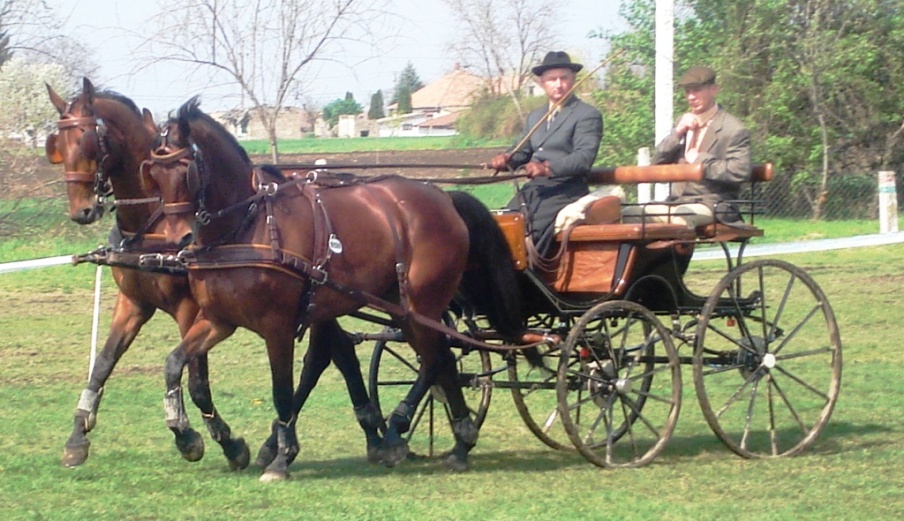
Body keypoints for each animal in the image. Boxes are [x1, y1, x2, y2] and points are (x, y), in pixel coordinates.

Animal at [45, 79, 249, 470]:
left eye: (89, 140)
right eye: (58, 145)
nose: (81, 211)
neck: (154, 221)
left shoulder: (190, 309)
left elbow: (195, 379)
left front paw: (206, 438)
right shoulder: (133, 302)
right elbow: (103, 363)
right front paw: (78, 435)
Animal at [143, 97, 524, 481]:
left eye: (186, 170)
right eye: (154, 175)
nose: (178, 239)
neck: (248, 225)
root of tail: (444, 198)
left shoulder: (277, 326)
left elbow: (282, 391)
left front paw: (282, 456)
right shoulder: (218, 320)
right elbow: (175, 364)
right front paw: (186, 435)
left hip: (422, 305)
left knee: (437, 358)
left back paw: (409, 433)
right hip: (404, 307)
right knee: (441, 359)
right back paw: (454, 441)